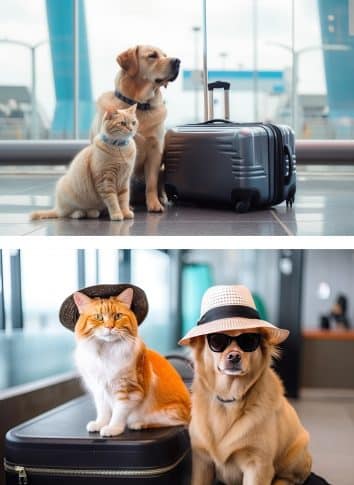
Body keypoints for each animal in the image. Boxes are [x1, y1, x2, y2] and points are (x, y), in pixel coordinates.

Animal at [73, 286, 192, 436]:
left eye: (117, 316)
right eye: (99, 317)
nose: (110, 327)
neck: (105, 351)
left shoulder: (128, 390)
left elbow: (118, 414)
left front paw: (113, 428)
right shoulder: (99, 391)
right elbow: (103, 412)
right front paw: (100, 424)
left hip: (167, 412)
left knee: (174, 422)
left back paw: (138, 424)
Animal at [91, 45, 180, 212]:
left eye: (165, 55)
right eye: (152, 55)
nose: (178, 61)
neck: (140, 104)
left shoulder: (155, 151)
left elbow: (151, 183)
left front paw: (154, 204)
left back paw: (162, 199)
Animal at [187, 328, 312, 484]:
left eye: (249, 340)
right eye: (217, 341)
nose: (234, 356)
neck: (229, 399)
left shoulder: (258, 465)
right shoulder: (201, 460)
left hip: (295, 453)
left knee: (290, 478)